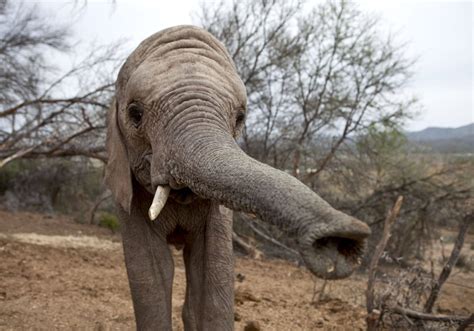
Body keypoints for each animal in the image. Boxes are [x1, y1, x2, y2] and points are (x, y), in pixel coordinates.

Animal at [105, 24, 372, 330]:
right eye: (135, 114)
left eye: (240, 118)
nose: (341, 241)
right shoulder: (127, 195)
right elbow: (152, 274)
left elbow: (211, 272)